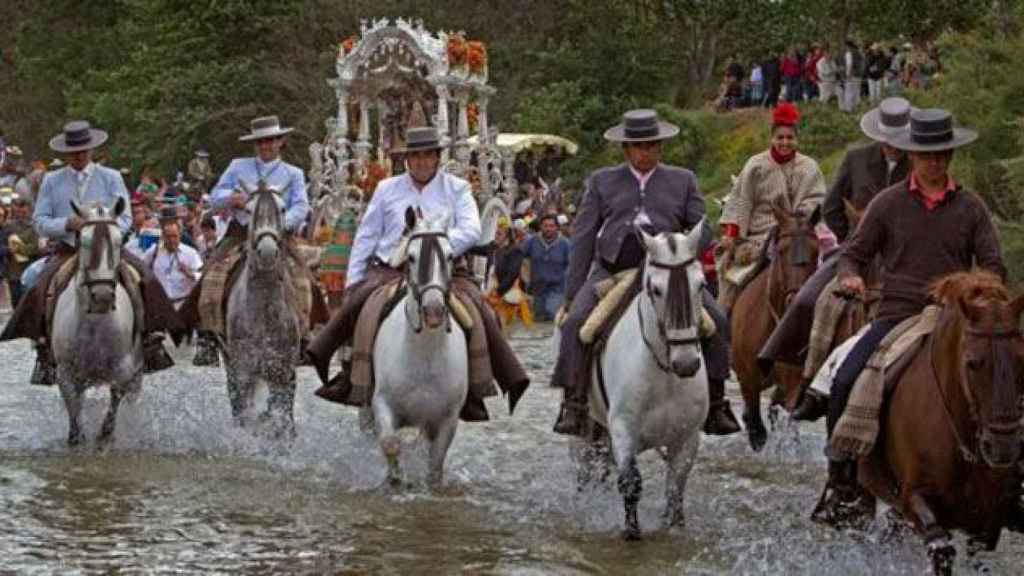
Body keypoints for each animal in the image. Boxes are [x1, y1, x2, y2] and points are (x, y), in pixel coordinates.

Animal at [51, 196, 143, 444]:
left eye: (120, 241)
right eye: (83, 241)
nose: (102, 296)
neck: (94, 324)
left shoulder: (123, 369)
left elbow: (114, 406)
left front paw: (105, 434)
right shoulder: (66, 374)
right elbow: (74, 420)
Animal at [223, 181, 299, 436]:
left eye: (283, 209)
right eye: (248, 210)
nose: (267, 251)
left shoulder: (282, 371)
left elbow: (281, 415)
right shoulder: (243, 370)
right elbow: (245, 414)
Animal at [372, 206, 468, 483]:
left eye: (450, 256)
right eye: (412, 257)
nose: (433, 311)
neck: (424, 355)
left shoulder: (447, 420)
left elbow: (435, 466)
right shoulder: (382, 403)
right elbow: (390, 444)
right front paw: (395, 479)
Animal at [733, 194, 819, 450]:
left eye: (816, 252)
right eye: (781, 250)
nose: (797, 302)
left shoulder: (793, 382)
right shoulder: (748, 379)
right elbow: (757, 430)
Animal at [856, 268, 1024, 573]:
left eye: (1022, 361)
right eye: (972, 363)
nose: (1002, 447)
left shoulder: (988, 520)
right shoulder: (915, 497)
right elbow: (940, 548)